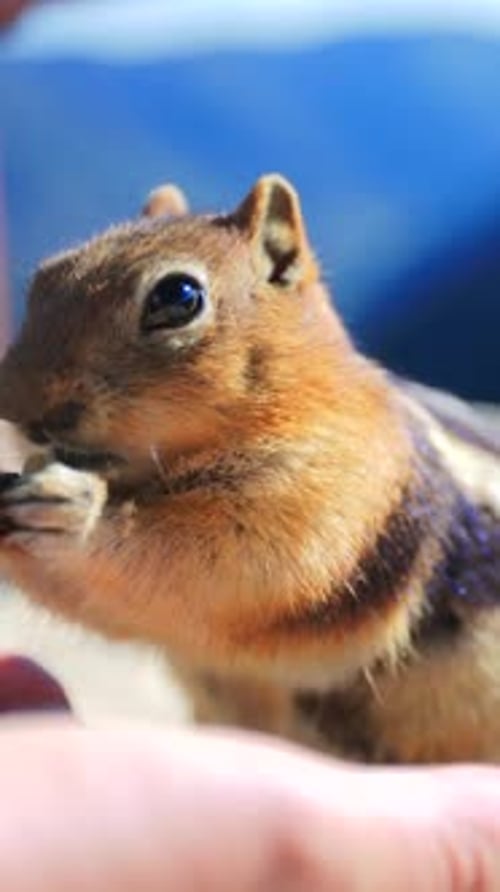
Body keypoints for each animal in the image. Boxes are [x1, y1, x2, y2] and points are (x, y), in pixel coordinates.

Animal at [0, 174, 498, 763]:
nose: (18, 407)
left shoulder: (332, 496)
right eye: (45, 277)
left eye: (178, 297)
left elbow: (222, 563)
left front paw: (72, 512)